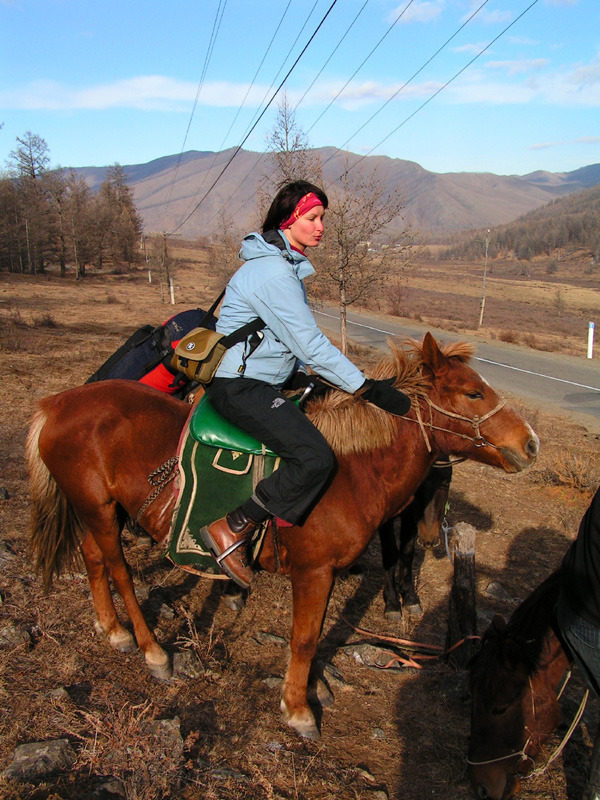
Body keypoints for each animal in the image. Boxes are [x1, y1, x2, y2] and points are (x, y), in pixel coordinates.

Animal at [28, 332, 540, 736]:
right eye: (472, 394)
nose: (530, 443)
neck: (353, 469)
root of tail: (59, 402)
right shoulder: (313, 572)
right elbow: (305, 638)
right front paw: (298, 709)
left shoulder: (327, 573)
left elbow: (317, 634)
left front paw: (314, 687)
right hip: (98, 510)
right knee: (119, 569)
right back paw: (152, 651)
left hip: (102, 511)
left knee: (94, 557)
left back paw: (113, 629)